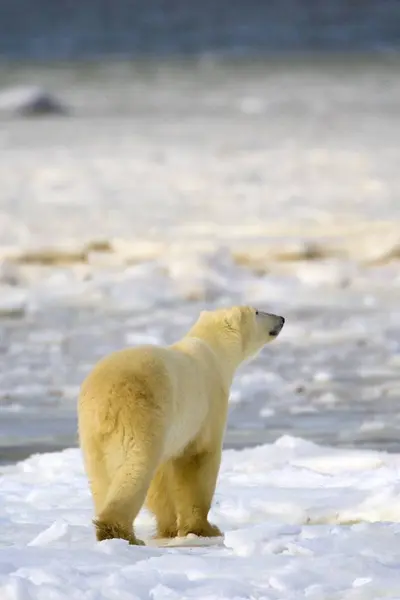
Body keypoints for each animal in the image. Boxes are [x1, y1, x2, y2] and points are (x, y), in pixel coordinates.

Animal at [77, 308, 284, 548]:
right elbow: (198, 461)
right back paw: (120, 532)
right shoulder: (209, 405)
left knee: (100, 478)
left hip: (91, 434)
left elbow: (162, 477)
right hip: (139, 414)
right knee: (134, 467)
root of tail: (104, 398)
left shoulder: (172, 431)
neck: (212, 350)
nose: (281, 319)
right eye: (258, 311)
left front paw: (168, 529)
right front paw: (205, 529)